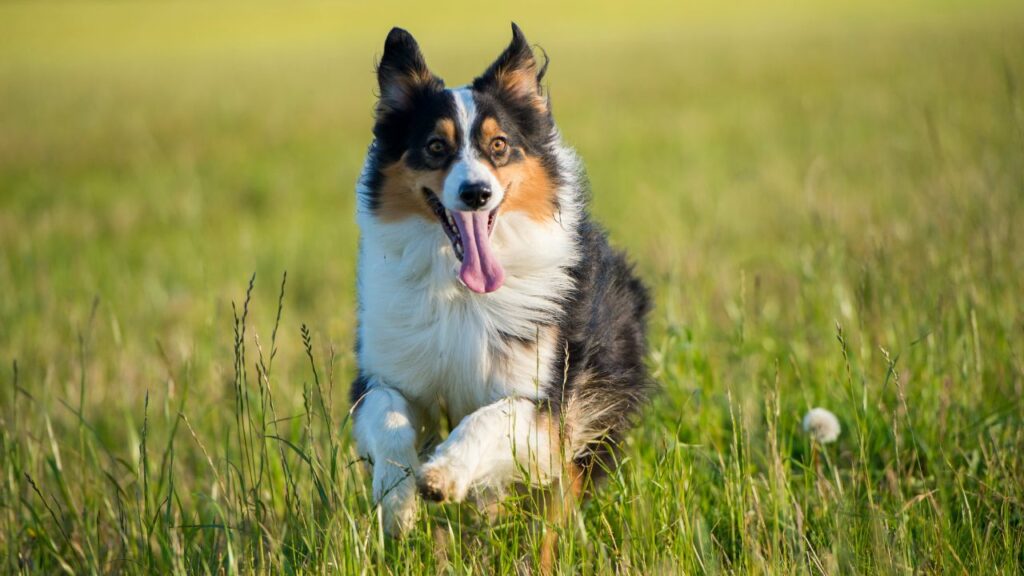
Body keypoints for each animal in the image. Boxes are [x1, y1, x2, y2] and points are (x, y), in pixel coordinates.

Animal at [352, 21, 651, 557]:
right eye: (435, 146)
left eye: (499, 145)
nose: (476, 193)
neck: (460, 292)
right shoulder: (385, 375)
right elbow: (389, 415)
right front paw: (397, 498)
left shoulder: (545, 407)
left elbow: (493, 416)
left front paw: (444, 473)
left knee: (554, 510)